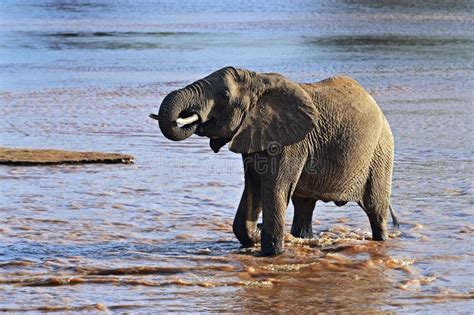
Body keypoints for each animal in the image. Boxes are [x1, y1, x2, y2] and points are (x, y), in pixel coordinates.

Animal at [150, 67, 398, 256]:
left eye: (225, 96)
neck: (258, 80)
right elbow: (253, 187)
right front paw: (256, 236)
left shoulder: (292, 144)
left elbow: (275, 188)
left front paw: (271, 253)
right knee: (304, 205)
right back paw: (302, 239)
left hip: (381, 152)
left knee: (375, 209)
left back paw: (380, 239)